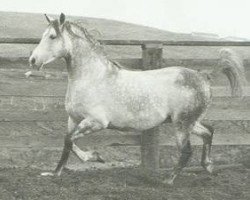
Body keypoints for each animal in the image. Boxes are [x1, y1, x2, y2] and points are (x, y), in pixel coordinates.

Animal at [29, 12, 246, 184]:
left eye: (52, 36)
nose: (33, 60)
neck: (92, 77)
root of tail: (204, 76)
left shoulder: (96, 122)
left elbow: (69, 141)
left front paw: (94, 157)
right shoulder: (73, 119)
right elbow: (68, 143)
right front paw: (56, 173)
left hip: (182, 124)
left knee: (186, 151)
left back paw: (168, 180)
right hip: (188, 122)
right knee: (209, 131)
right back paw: (208, 166)